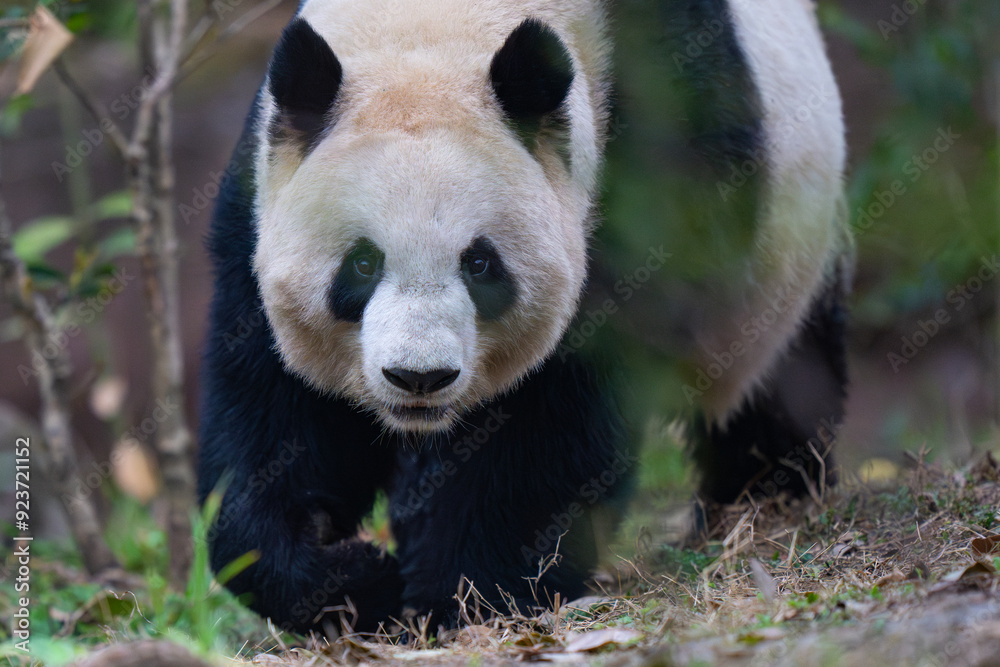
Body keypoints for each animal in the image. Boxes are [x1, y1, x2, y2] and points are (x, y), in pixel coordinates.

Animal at [197, 0, 848, 634]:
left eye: (480, 262)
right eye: (361, 262)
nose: (419, 378)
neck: (432, 29)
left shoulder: (656, 147)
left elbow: (556, 412)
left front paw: (464, 592)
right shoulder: (255, 204)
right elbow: (274, 418)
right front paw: (348, 577)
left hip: (787, 271)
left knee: (776, 389)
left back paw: (768, 495)